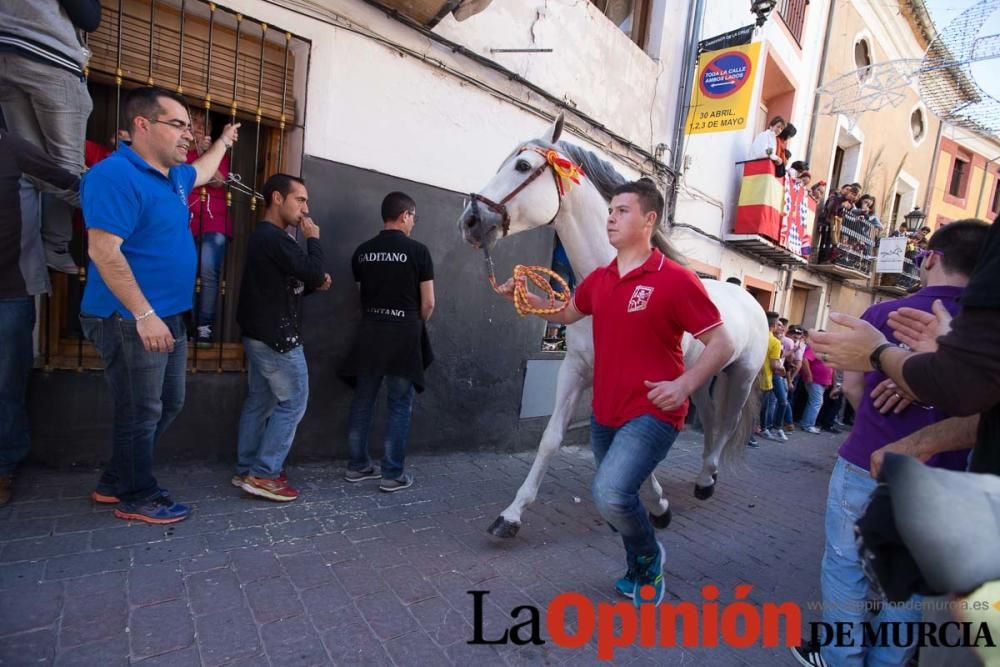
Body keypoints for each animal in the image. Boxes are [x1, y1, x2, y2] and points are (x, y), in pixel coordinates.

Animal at [458, 115, 768, 540]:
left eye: (521, 166)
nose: (469, 221)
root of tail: (750, 299)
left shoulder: (647, 385)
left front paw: (657, 506)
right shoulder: (576, 369)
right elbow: (551, 438)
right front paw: (512, 515)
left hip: (741, 376)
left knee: (728, 422)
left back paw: (707, 480)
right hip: (702, 379)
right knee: (709, 419)